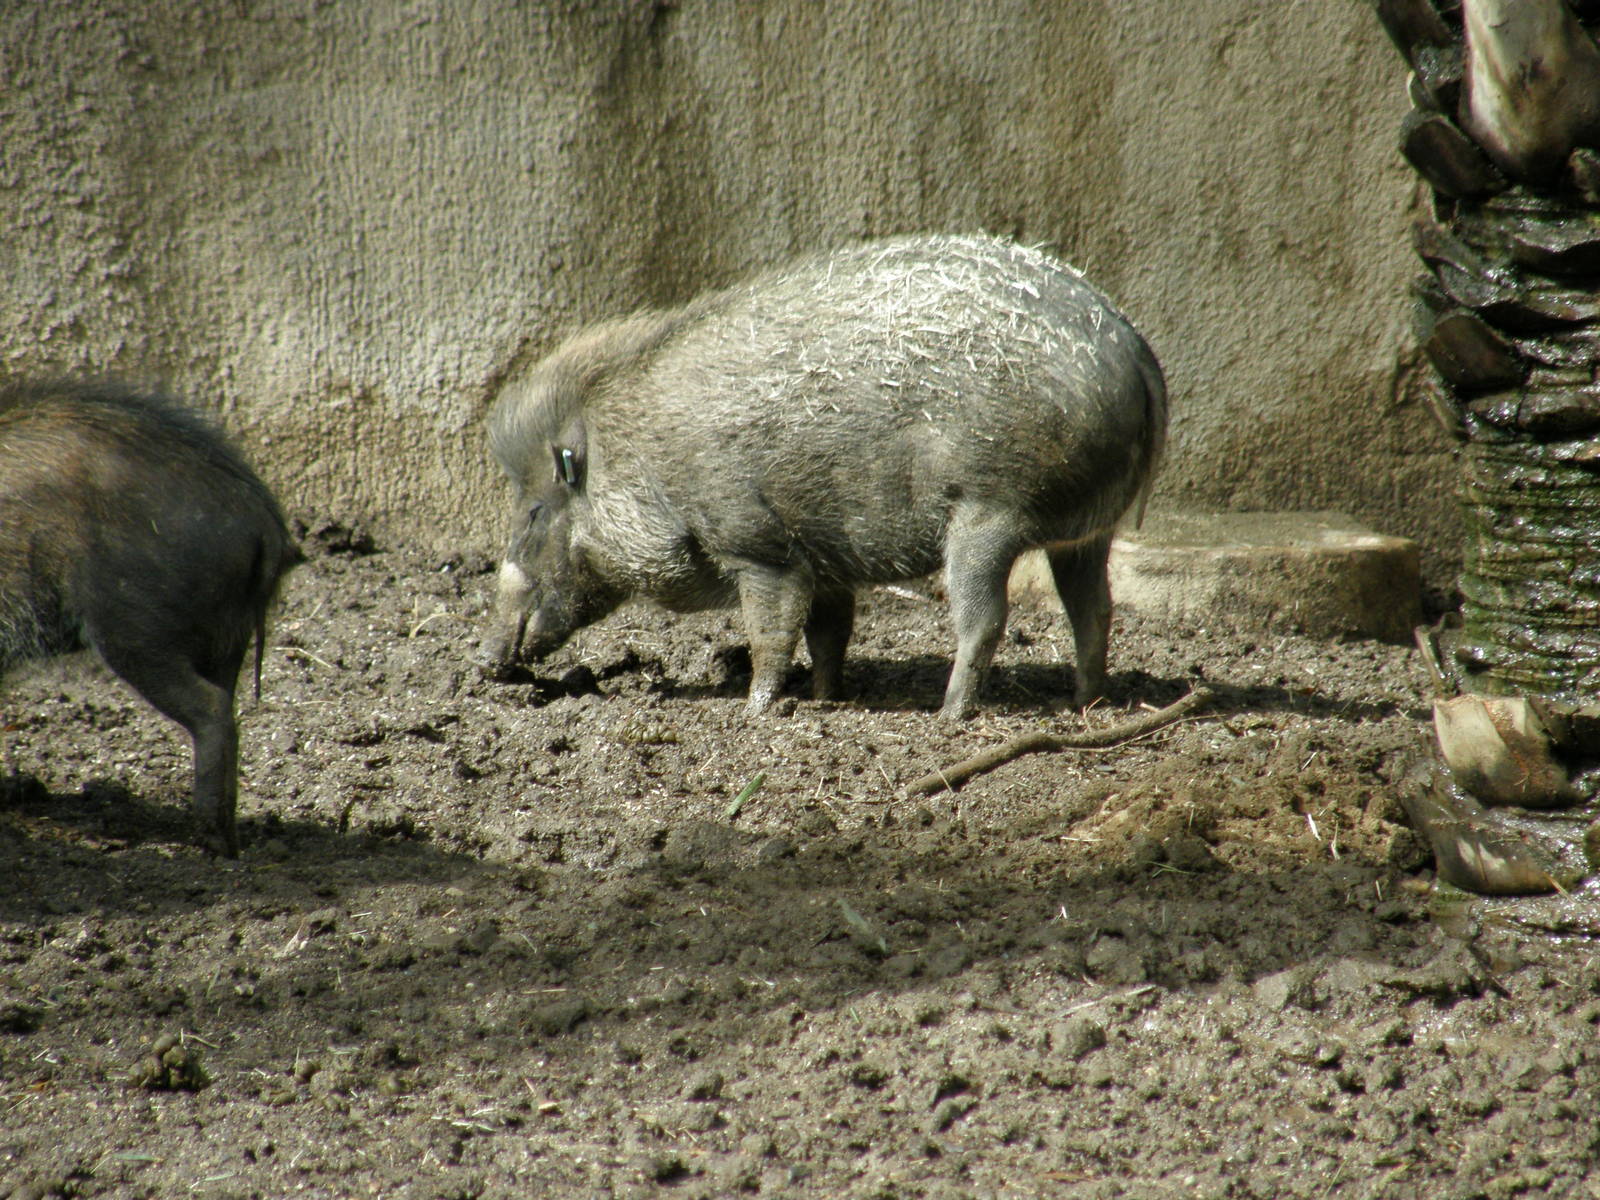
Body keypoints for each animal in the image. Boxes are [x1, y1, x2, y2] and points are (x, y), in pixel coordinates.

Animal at [0, 381, 299, 854]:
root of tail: (265, 521)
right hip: (226, 638)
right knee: (228, 707)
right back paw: (227, 840)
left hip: (135, 632)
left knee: (211, 710)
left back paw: (208, 840)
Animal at [480, 233, 1167, 718]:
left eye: (535, 511)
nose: (484, 664)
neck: (648, 459)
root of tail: (1132, 345)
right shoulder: (823, 558)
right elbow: (828, 633)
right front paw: (822, 700)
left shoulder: (758, 544)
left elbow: (771, 632)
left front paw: (757, 713)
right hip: (1084, 534)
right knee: (1094, 609)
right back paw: (1083, 702)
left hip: (986, 514)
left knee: (986, 618)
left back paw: (948, 717)